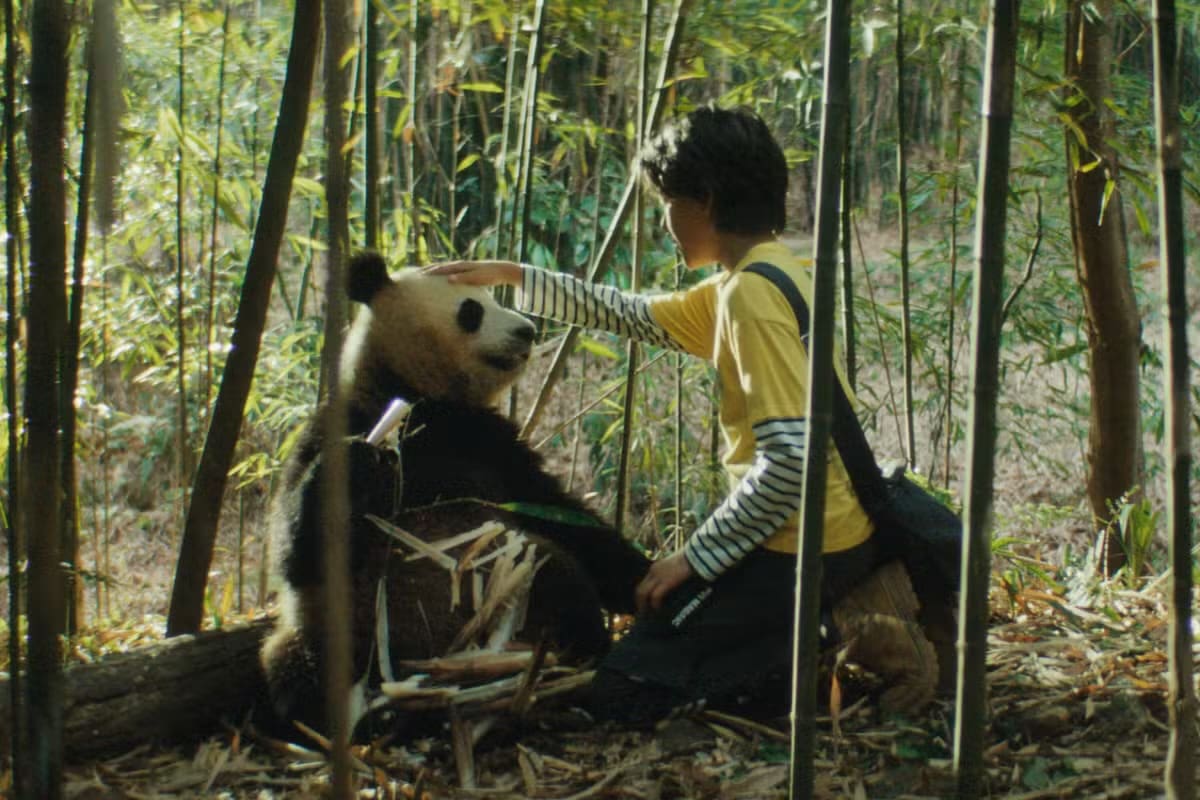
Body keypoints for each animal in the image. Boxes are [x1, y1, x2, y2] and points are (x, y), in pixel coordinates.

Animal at [260, 251, 650, 732]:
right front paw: (360, 457)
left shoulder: (493, 446)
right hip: (338, 632)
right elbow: (295, 550)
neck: (419, 399)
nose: (527, 330)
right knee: (297, 673)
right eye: (471, 310)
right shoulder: (336, 423)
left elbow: (560, 513)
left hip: (517, 584)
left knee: (559, 576)